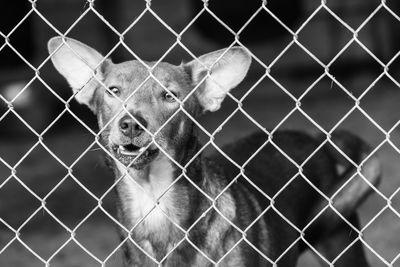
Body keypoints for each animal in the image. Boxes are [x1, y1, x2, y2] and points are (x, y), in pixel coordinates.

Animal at [47, 36, 382, 266]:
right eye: (113, 91)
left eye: (169, 96)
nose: (130, 124)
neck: (153, 199)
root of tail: (315, 139)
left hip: (342, 245)